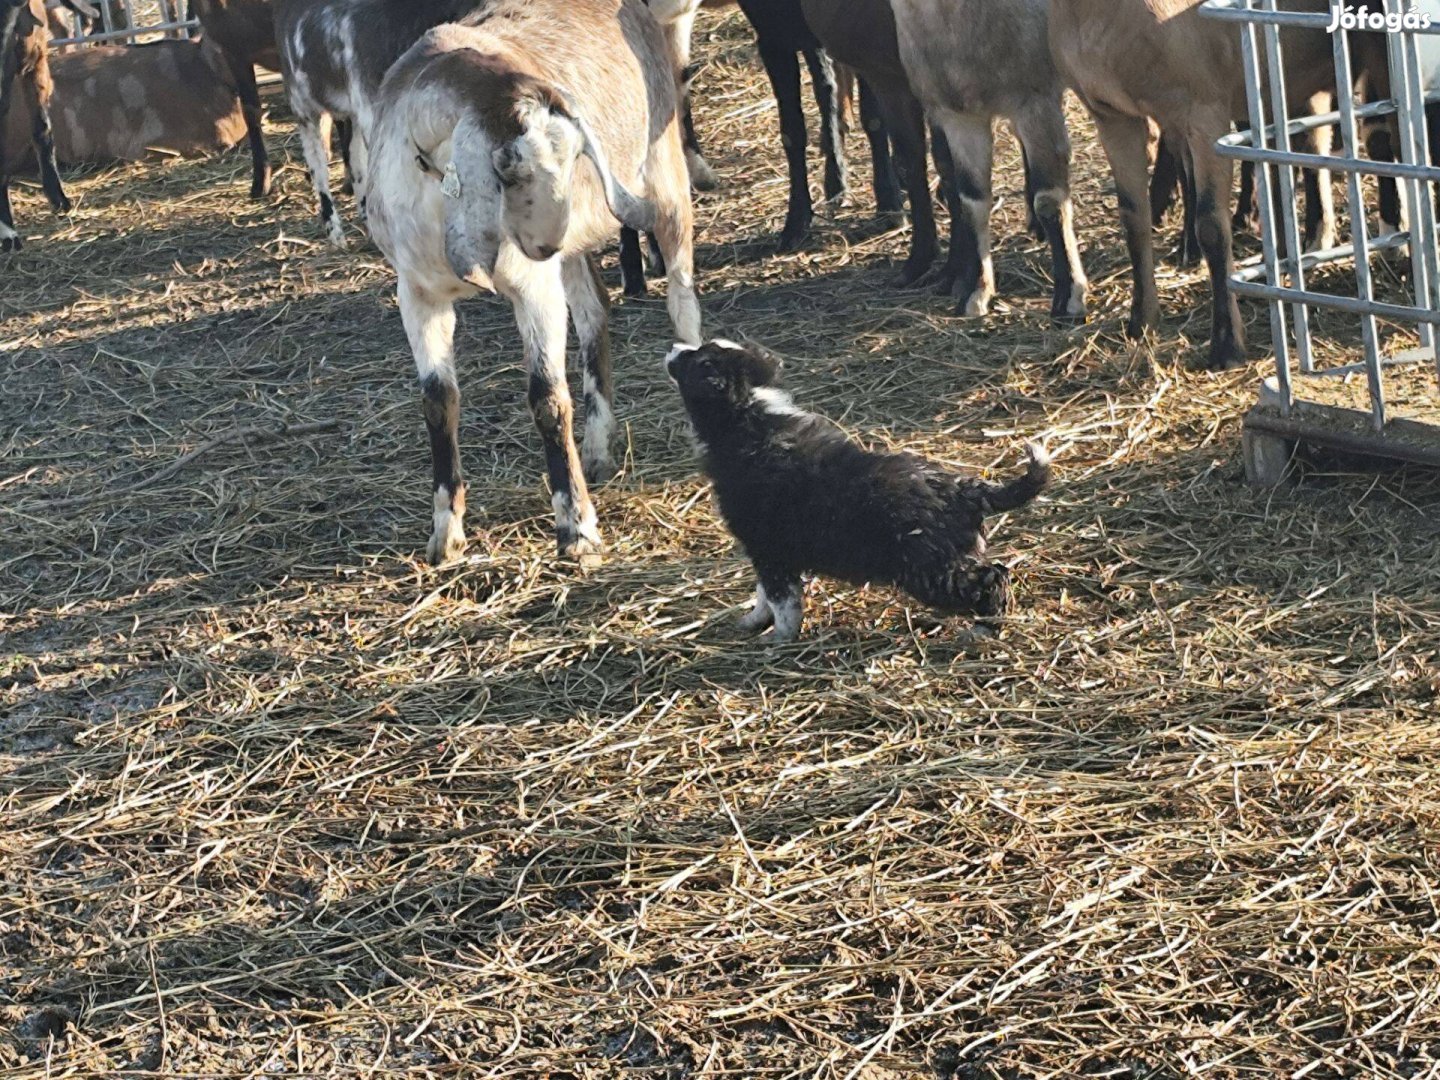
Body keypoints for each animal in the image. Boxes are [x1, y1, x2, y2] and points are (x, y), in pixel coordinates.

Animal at [368, 2, 699, 567]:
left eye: (576, 157)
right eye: (507, 168)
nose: (546, 242)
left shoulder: (534, 289)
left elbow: (548, 399)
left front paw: (577, 530)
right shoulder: (417, 294)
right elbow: (438, 402)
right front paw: (445, 534)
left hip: (664, 175)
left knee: (682, 302)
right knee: (594, 312)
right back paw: (597, 449)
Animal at [668, 339, 1054, 642]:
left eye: (700, 360)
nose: (673, 348)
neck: (749, 419)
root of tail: (962, 489)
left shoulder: (769, 549)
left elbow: (783, 601)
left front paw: (780, 639)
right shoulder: (766, 550)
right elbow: (764, 594)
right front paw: (754, 621)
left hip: (931, 570)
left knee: (993, 579)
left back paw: (985, 629)